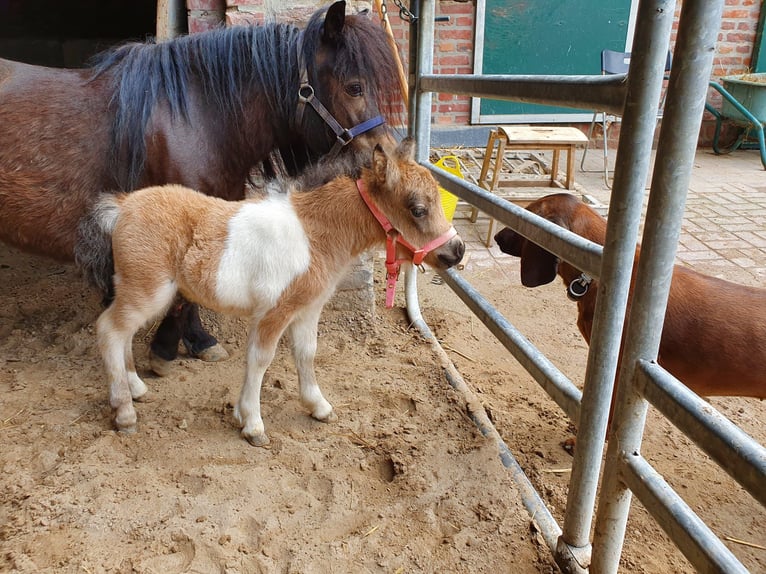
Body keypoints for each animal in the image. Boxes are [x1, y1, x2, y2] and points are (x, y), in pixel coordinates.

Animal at [0, 1, 400, 374]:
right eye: (354, 87)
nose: (383, 157)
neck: (196, 122)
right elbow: (181, 292)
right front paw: (164, 349)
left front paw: (199, 341)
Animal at [96, 140, 468, 446]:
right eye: (417, 209)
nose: (457, 251)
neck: (314, 232)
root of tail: (124, 205)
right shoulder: (274, 311)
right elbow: (260, 359)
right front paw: (252, 423)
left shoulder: (308, 309)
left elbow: (306, 353)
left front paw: (318, 406)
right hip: (149, 290)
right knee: (110, 330)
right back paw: (125, 413)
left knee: (122, 333)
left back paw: (137, 389)